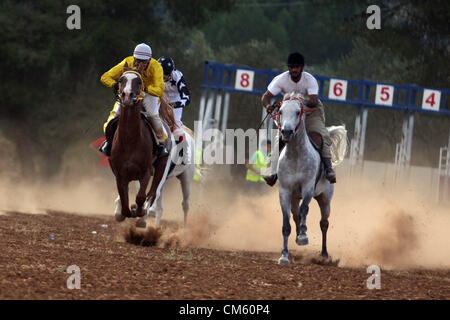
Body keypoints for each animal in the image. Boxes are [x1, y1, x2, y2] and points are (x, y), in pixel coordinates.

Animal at [110, 62, 170, 222]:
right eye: (121, 80)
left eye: (138, 81)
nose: (127, 95)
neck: (130, 140)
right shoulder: (120, 175)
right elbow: (125, 204)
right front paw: (125, 211)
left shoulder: (146, 172)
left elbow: (141, 196)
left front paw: (140, 210)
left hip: (161, 165)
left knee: (153, 192)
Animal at [274, 92, 348, 264]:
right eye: (280, 111)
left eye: (297, 112)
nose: (286, 132)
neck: (296, 155)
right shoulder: (285, 191)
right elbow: (286, 223)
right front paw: (284, 256)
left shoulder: (308, 187)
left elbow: (305, 209)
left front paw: (303, 237)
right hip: (295, 197)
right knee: (296, 216)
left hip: (325, 198)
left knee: (324, 223)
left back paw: (324, 254)